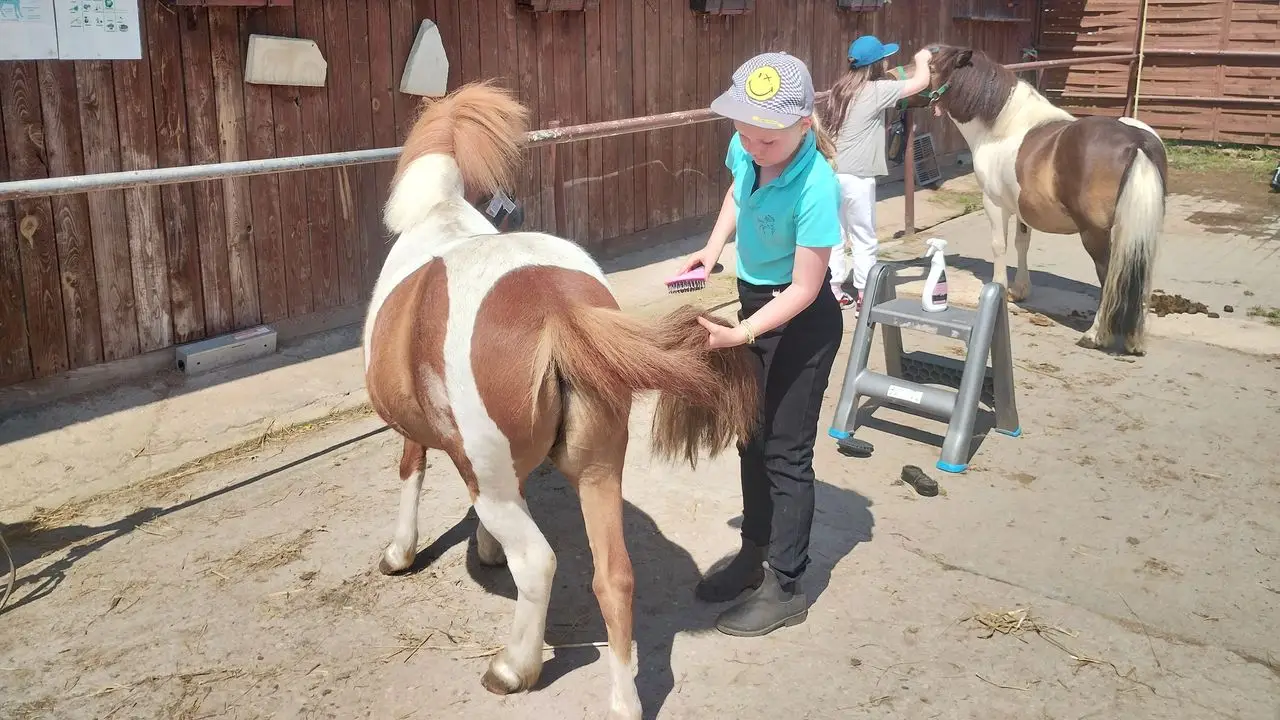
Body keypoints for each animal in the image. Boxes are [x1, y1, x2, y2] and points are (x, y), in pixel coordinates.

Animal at [360, 81, 760, 720]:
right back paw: (623, 702)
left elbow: (410, 471)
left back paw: (512, 669)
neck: (440, 215)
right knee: (614, 577)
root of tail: (558, 311)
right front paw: (486, 548)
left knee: (538, 563)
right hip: (599, 470)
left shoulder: (425, 440)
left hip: (505, 478)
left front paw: (401, 554)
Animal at [923, 44, 1169, 355]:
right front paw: (1020, 291)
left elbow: (999, 245)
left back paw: (1094, 335)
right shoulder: (1020, 208)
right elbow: (1022, 243)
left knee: (1108, 274)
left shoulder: (994, 204)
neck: (1001, 128)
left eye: (930, 67)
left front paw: (1000, 289)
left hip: (1095, 234)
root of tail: (1137, 142)